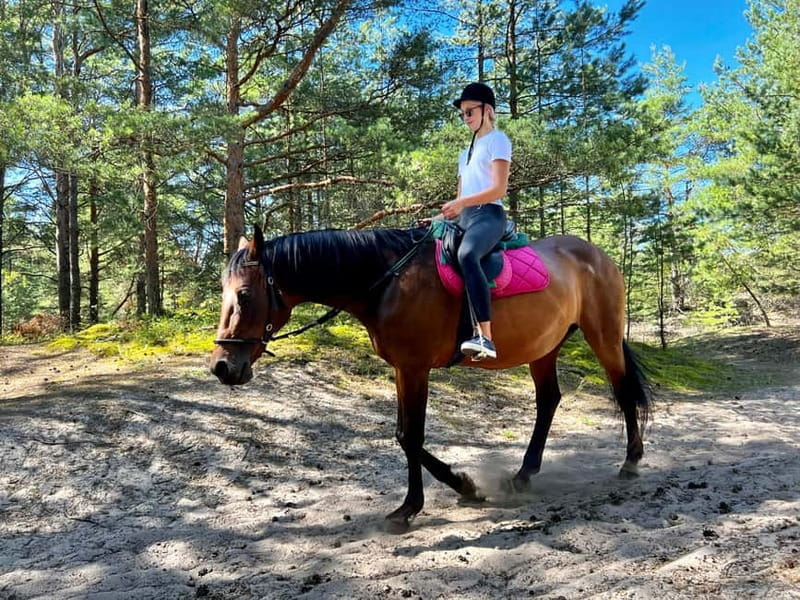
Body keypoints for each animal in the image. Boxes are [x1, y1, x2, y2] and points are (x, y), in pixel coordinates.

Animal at [210, 225, 652, 533]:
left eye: (244, 295)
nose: (222, 367)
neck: (385, 281)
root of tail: (597, 256)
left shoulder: (415, 367)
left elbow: (411, 437)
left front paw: (411, 507)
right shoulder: (402, 369)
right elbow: (404, 435)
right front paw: (465, 487)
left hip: (603, 335)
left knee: (621, 389)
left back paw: (630, 462)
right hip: (545, 348)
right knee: (548, 401)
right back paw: (524, 475)